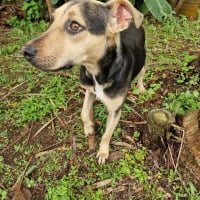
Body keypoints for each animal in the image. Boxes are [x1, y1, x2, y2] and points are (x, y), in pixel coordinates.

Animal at [21, 0, 146, 163]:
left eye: (75, 26)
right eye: (52, 19)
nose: (25, 51)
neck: (97, 72)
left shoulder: (115, 111)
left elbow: (107, 134)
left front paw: (103, 152)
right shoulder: (89, 90)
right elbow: (84, 112)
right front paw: (88, 128)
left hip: (143, 64)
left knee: (142, 74)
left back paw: (141, 88)